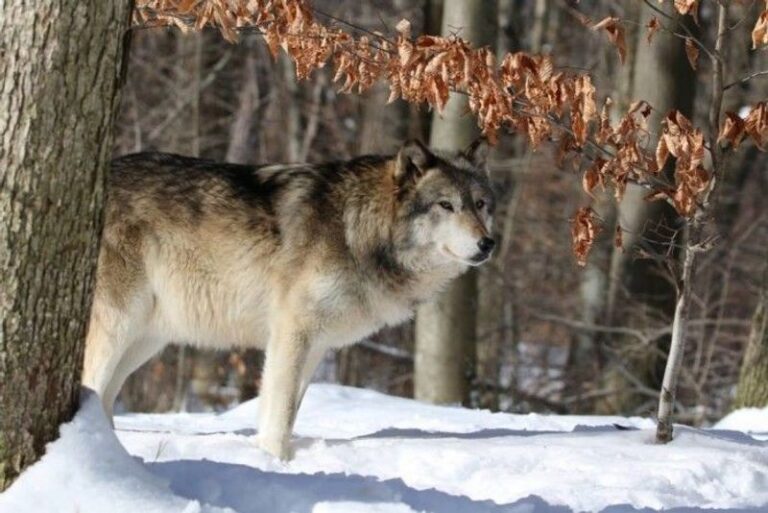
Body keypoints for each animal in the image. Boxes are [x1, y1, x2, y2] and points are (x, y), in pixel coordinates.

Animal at [82, 139, 495, 459]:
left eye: (480, 204)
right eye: (446, 205)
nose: (488, 243)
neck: (357, 230)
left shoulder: (316, 346)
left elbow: (287, 410)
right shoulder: (291, 332)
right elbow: (279, 411)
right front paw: (275, 461)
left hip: (145, 341)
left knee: (104, 396)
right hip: (119, 327)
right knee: (91, 385)